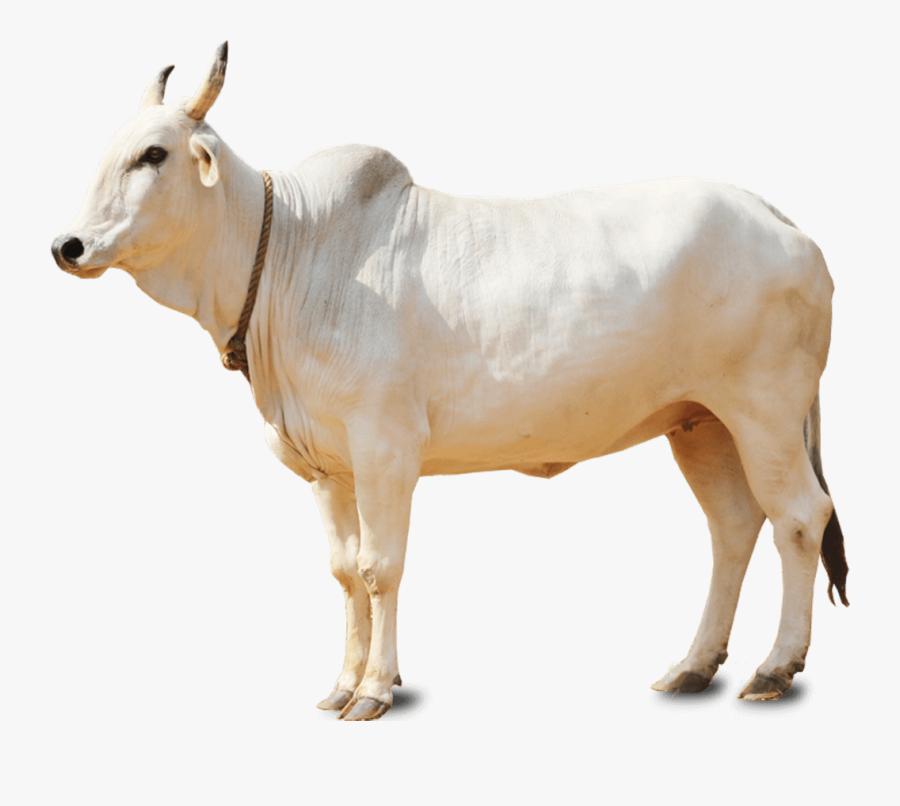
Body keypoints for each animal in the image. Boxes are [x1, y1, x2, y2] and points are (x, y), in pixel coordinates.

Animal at [52, 43, 848, 720]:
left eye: (154, 154)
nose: (69, 245)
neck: (288, 255)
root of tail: (778, 219)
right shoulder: (327, 467)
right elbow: (344, 572)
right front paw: (341, 682)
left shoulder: (385, 446)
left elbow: (380, 567)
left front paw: (374, 689)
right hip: (701, 422)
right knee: (733, 529)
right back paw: (692, 666)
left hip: (765, 411)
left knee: (799, 518)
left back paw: (775, 667)